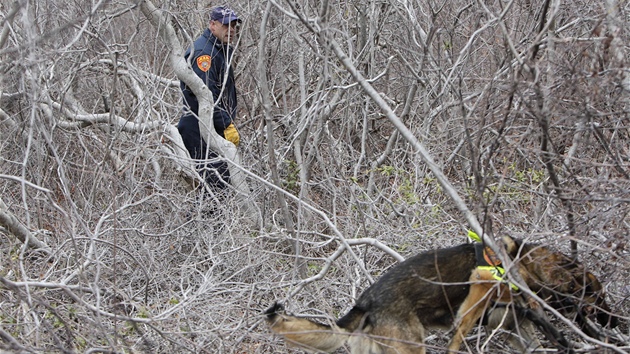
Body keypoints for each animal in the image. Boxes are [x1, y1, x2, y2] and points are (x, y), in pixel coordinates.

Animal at [266, 235, 616, 354]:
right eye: (600, 298)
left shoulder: (509, 324)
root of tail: (365, 301)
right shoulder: (477, 294)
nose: (613, 321)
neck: (524, 264)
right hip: (412, 347)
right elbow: (458, 337)